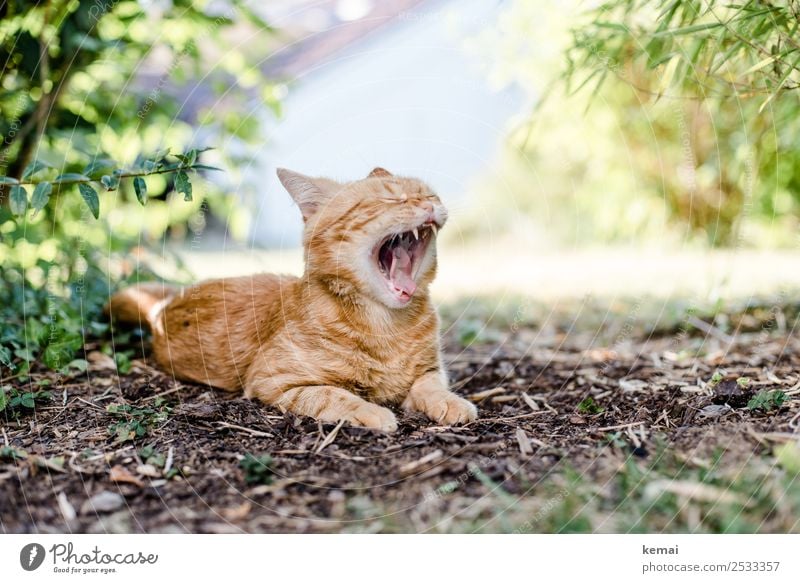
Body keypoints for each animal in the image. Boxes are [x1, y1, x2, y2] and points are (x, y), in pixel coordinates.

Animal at [108, 167, 478, 432]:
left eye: (429, 194)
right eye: (390, 198)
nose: (431, 205)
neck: (385, 325)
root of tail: (165, 305)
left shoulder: (430, 369)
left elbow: (431, 385)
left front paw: (451, 402)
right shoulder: (274, 381)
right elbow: (332, 394)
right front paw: (372, 412)